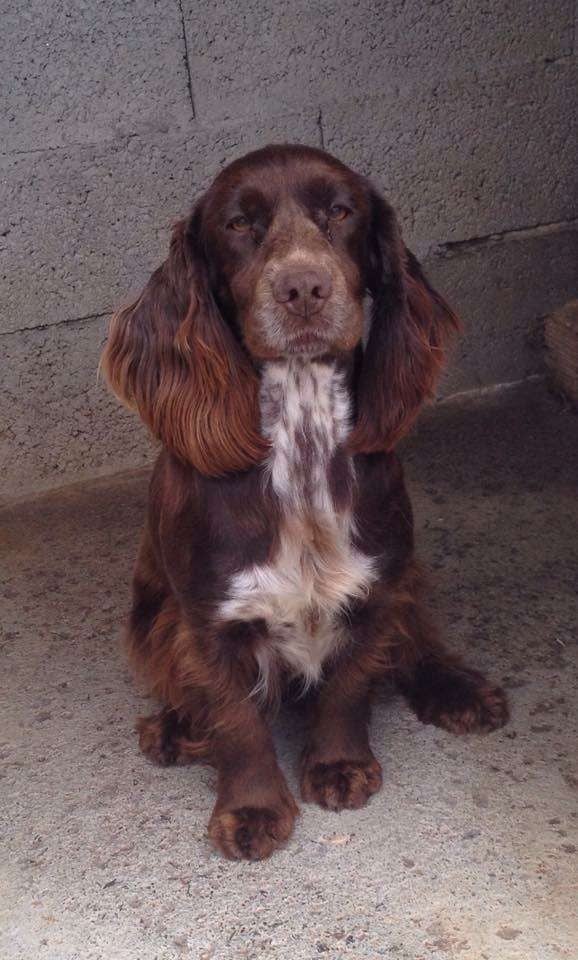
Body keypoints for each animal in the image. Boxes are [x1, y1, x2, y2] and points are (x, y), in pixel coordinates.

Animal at [102, 144, 509, 861]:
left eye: (341, 211)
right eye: (239, 224)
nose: (303, 289)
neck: (303, 434)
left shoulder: (376, 585)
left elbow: (349, 684)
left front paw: (339, 766)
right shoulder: (208, 619)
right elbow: (235, 717)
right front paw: (253, 809)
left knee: (417, 643)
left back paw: (458, 690)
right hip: (150, 611)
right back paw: (176, 728)